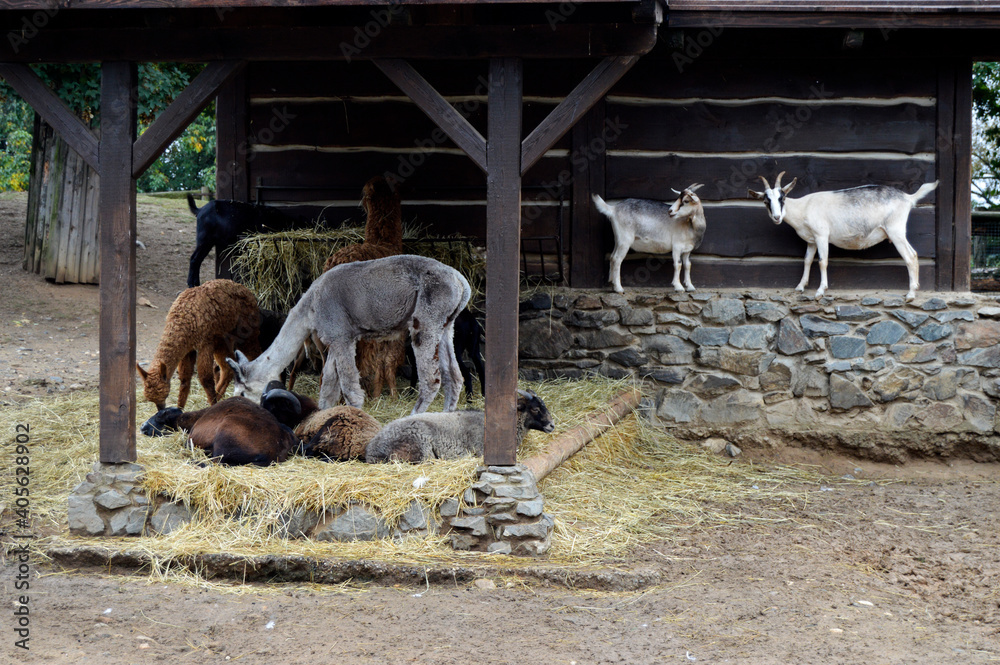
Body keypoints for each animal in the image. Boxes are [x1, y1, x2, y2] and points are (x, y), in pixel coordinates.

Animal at [226, 254, 471, 414]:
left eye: (241, 393)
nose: (239, 407)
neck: (310, 307)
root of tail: (460, 281)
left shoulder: (341, 336)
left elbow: (349, 385)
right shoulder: (336, 338)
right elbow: (329, 384)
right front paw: (322, 415)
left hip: (427, 317)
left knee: (431, 379)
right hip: (446, 325)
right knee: (454, 376)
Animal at [748, 172, 937, 301]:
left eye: (783, 198)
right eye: (766, 201)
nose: (777, 217)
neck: (803, 207)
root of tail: (907, 197)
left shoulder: (822, 235)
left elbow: (822, 261)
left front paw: (820, 291)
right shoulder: (812, 240)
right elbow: (807, 260)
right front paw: (800, 287)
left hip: (895, 230)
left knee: (910, 256)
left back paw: (911, 294)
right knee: (914, 254)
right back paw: (915, 289)